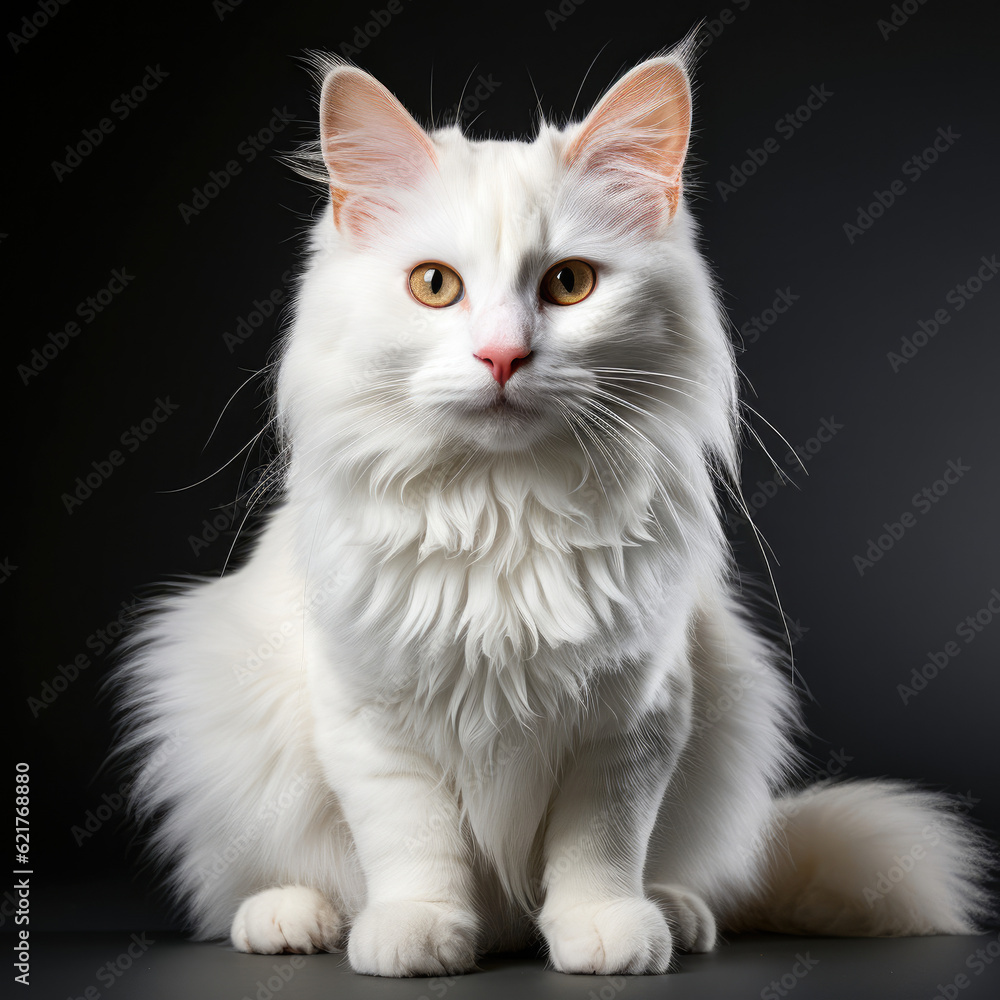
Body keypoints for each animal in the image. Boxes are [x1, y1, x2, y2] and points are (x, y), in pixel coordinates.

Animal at [113, 47, 988, 976]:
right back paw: (293, 919)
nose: (503, 355)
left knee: (686, 872)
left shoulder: (634, 719)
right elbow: (412, 841)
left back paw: (673, 914)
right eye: (435, 286)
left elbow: (599, 845)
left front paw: (605, 932)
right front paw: (417, 930)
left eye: (569, 284)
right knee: (257, 883)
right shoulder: (370, 719)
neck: (505, 509)